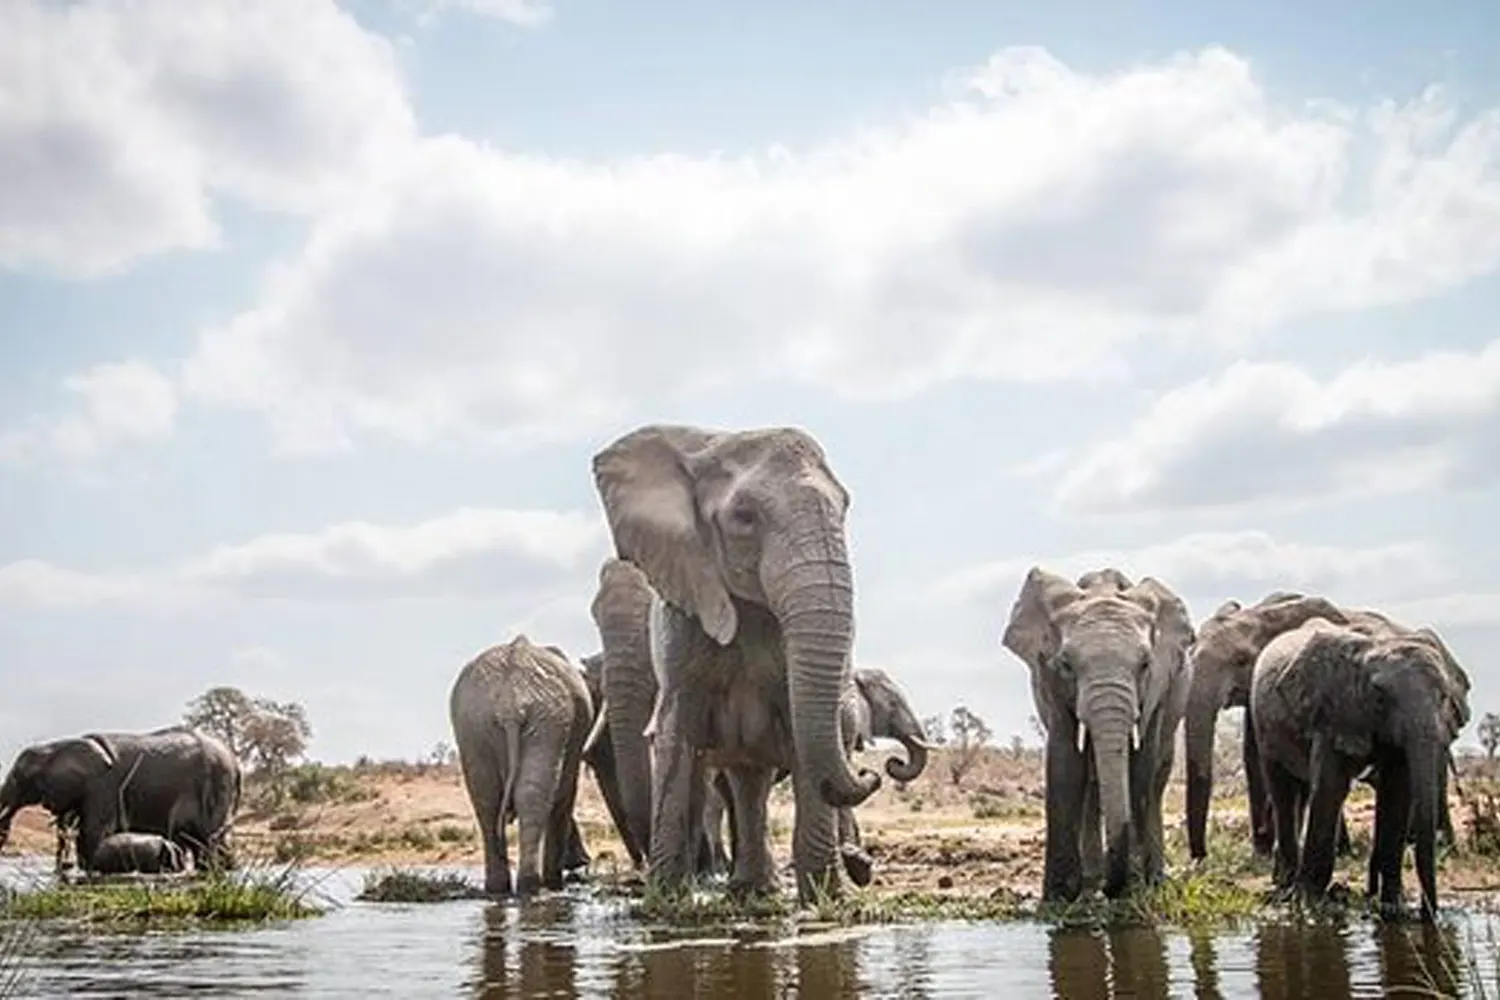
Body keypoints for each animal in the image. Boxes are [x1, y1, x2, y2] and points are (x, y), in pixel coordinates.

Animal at [0, 722, 240, 869]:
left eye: (18, 777)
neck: (59, 746)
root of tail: (234, 762)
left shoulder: (102, 786)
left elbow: (93, 834)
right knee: (199, 842)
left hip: (215, 785)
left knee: (209, 840)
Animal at [450, 632, 597, 899]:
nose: (583, 864)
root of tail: (511, 701)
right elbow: (565, 797)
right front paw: (556, 883)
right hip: (546, 719)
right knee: (533, 797)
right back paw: (534, 887)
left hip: (475, 721)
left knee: (486, 799)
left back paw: (499, 890)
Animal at [591, 422, 882, 905]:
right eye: (744, 517)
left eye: (844, 508)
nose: (874, 772)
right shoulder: (682, 614)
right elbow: (677, 733)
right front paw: (664, 903)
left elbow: (802, 730)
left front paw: (826, 903)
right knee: (741, 779)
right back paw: (747, 889)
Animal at [1002, 566, 1200, 905]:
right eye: (1066, 664)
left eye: (1145, 665)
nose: (1112, 888)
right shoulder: (1048, 679)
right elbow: (1065, 761)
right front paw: (1058, 897)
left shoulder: (1159, 685)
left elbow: (1140, 765)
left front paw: (1134, 889)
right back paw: (1092, 883)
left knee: (1156, 782)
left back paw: (1151, 879)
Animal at [1248, 617, 1470, 923]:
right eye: (1379, 697)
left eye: (1444, 697)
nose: (1428, 915)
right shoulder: (1333, 714)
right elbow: (1330, 788)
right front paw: (1311, 911)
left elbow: (1397, 792)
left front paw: (1393, 911)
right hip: (1264, 725)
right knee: (1282, 790)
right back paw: (1285, 889)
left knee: (1300, 792)